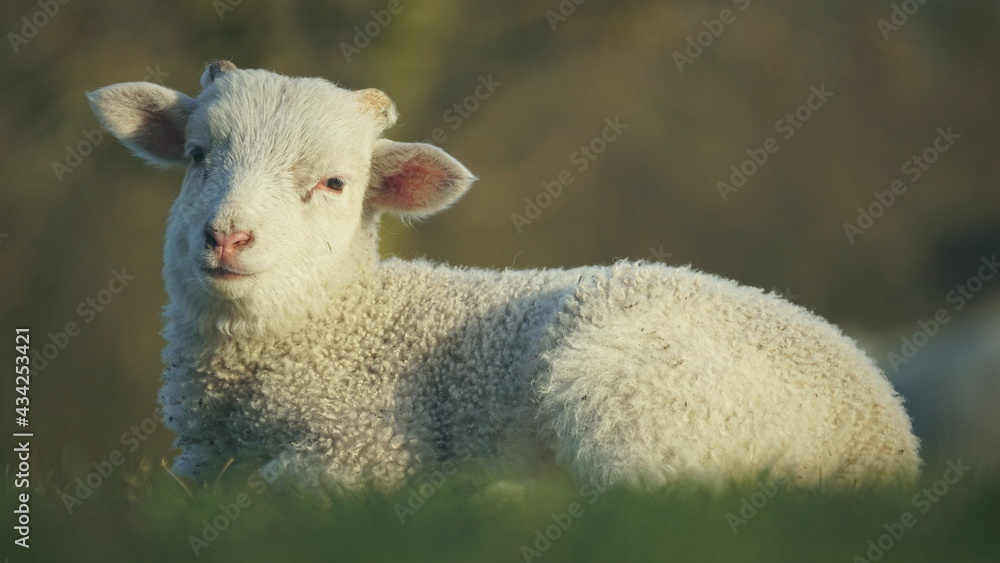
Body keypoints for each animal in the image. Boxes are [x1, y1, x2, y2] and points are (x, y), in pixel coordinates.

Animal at [87, 60, 920, 492]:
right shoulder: (198, 463)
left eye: (333, 184)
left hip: (639, 396)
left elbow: (279, 489)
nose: (226, 236)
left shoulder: (367, 444)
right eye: (197, 156)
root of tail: (882, 437)